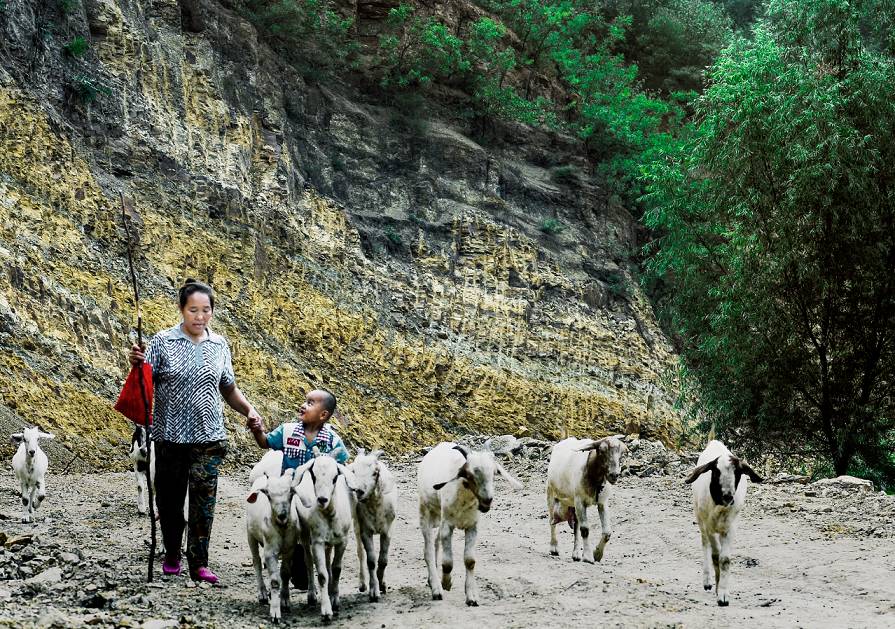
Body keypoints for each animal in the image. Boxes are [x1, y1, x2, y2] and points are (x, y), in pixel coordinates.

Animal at [247, 468, 302, 620]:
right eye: (269, 495)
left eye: (291, 493)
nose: (282, 515)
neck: (282, 528)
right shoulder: (270, 551)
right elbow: (275, 580)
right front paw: (275, 612)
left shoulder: (290, 548)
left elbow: (285, 573)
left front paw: (285, 601)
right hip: (250, 535)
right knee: (256, 561)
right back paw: (263, 593)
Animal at [290, 454, 354, 620]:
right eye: (314, 476)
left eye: (335, 478)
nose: (322, 499)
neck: (329, 514)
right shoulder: (317, 541)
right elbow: (322, 575)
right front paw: (326, 610)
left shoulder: (343, 540)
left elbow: (336, 569)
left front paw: (335, 600)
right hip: (305, 532)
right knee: (308, 560)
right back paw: (312, 595)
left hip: (330, 541)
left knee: (328, 560)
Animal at [420, 440, 524, 604]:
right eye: (468, 474)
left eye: (495, 473)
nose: (487, 501)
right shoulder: (447, 526)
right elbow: (448, 563)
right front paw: (446, 583)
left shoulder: (472, 526)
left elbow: (470, 561)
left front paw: (471, 597)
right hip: (426, 513)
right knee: (428, 549)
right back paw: (436, 588)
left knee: (435, 543)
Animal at [688, 440, 764, 604]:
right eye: (716, 472)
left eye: (738, 473)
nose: (728, 496)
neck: (719, 506)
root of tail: (714, 442)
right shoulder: (709, 526)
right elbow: (715, 555)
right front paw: (716, 587)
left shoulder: (730, 528)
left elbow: (724, 559)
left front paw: (722, 594)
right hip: (699, 517)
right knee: (705, 544)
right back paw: (707, 581)